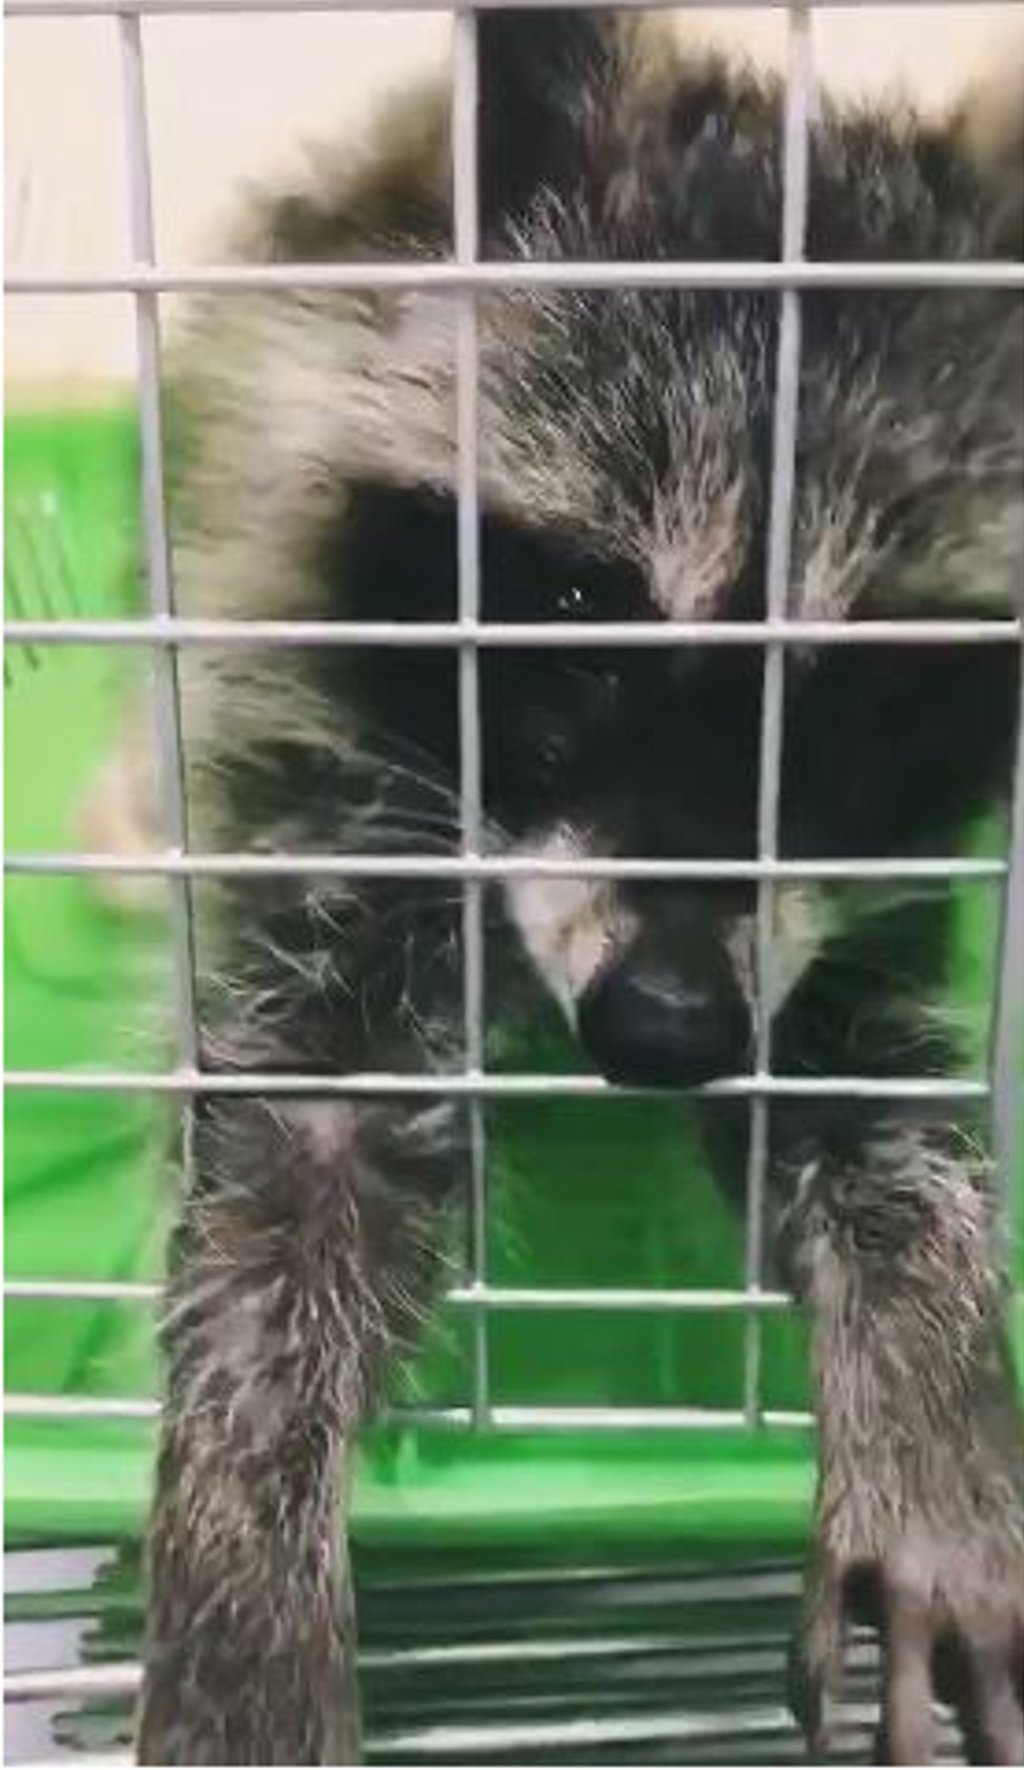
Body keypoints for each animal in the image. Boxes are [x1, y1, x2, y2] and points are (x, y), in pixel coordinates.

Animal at [136, 14, 1024, 1765]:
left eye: (859, 694)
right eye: (574, 617)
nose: (664, 1025)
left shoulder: (826, 897)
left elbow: (866, 1092)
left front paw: (926, 1379)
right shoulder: (340, 777)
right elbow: (294, 1158)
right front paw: (243, 1562)